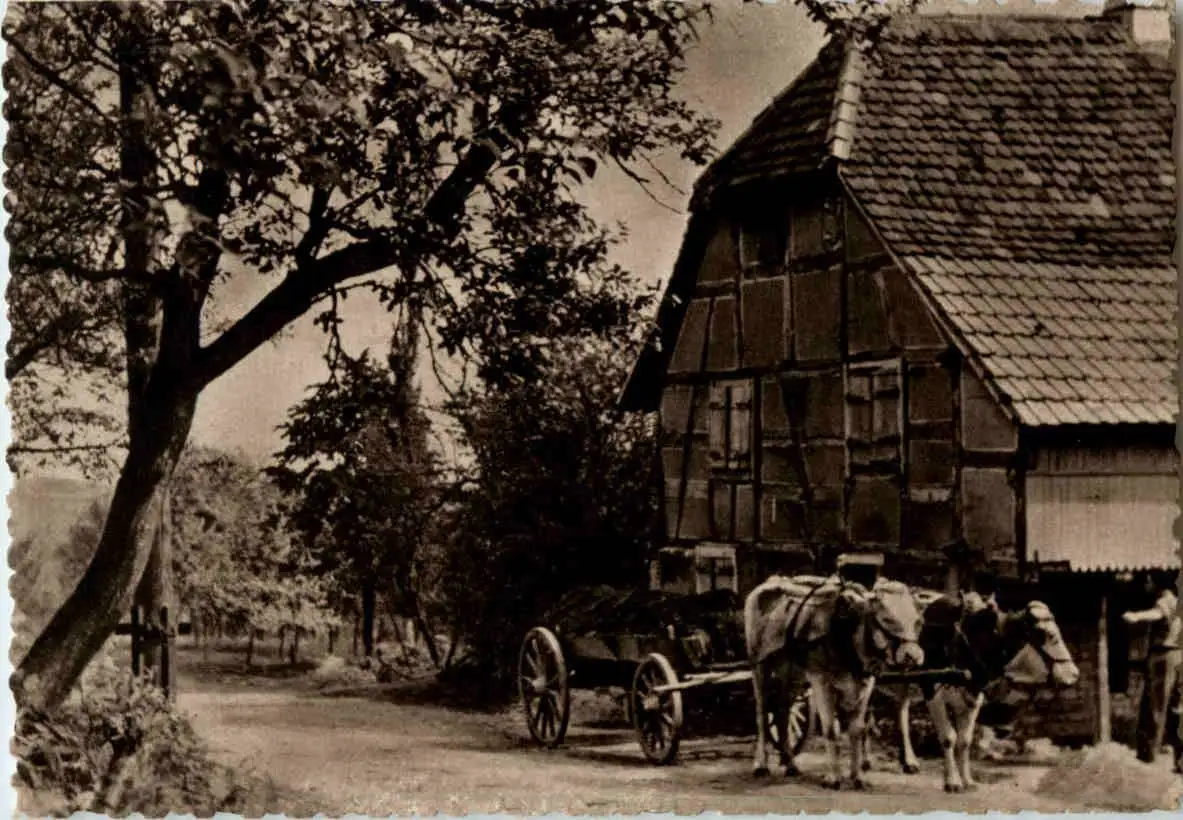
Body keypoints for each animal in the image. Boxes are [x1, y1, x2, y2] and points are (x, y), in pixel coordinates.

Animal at [745, 573, 925, 790]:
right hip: (759, 666)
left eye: (918, 622)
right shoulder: (820, 680)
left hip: (791, 675)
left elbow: (857, 729)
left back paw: (791, 764)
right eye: (887, 619)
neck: (847, 632)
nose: (913, 656)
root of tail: (771, 582)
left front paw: (858, 777)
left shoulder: (865, 684)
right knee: (762, 715)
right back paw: (760, 765)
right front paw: (833, 778)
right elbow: (831, 730)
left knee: (782, 713)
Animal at [871, 591, 1080, 792]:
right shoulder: (932, 689)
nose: (1073, 674)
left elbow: (965, 740)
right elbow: (948, 737)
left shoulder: (974, 695)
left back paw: (907, 761)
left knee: (900, 708)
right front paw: (953, 782)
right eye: (1047, 634)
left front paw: (967, 781)